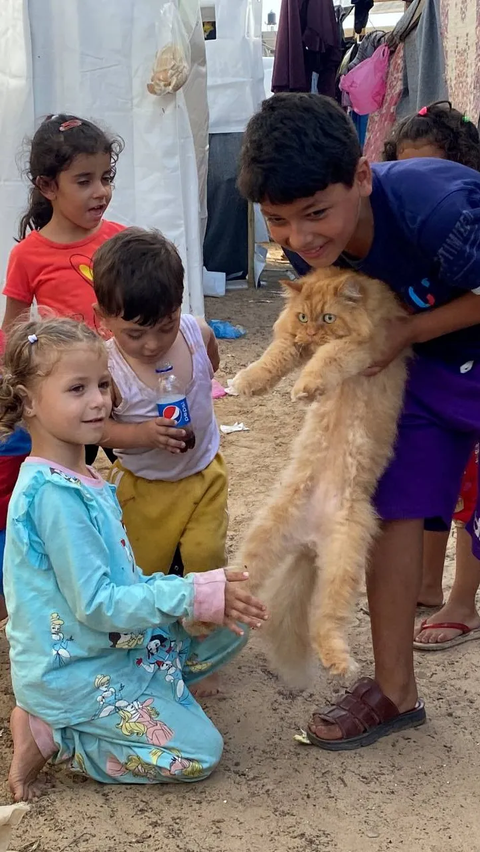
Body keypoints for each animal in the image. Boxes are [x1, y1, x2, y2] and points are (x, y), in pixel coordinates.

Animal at [232, 270, 408, 684]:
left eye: (327, 318)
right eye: (302, 317)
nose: (311, 333)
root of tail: (309, 540)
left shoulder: (364, 347)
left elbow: (329, 357)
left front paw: (305, 386)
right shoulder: (291, 344)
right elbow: (273, 357)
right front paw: (246, 382)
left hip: (343, 562)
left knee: (324, 624)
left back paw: (340, 663)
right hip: (263, 541)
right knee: (241, 581)